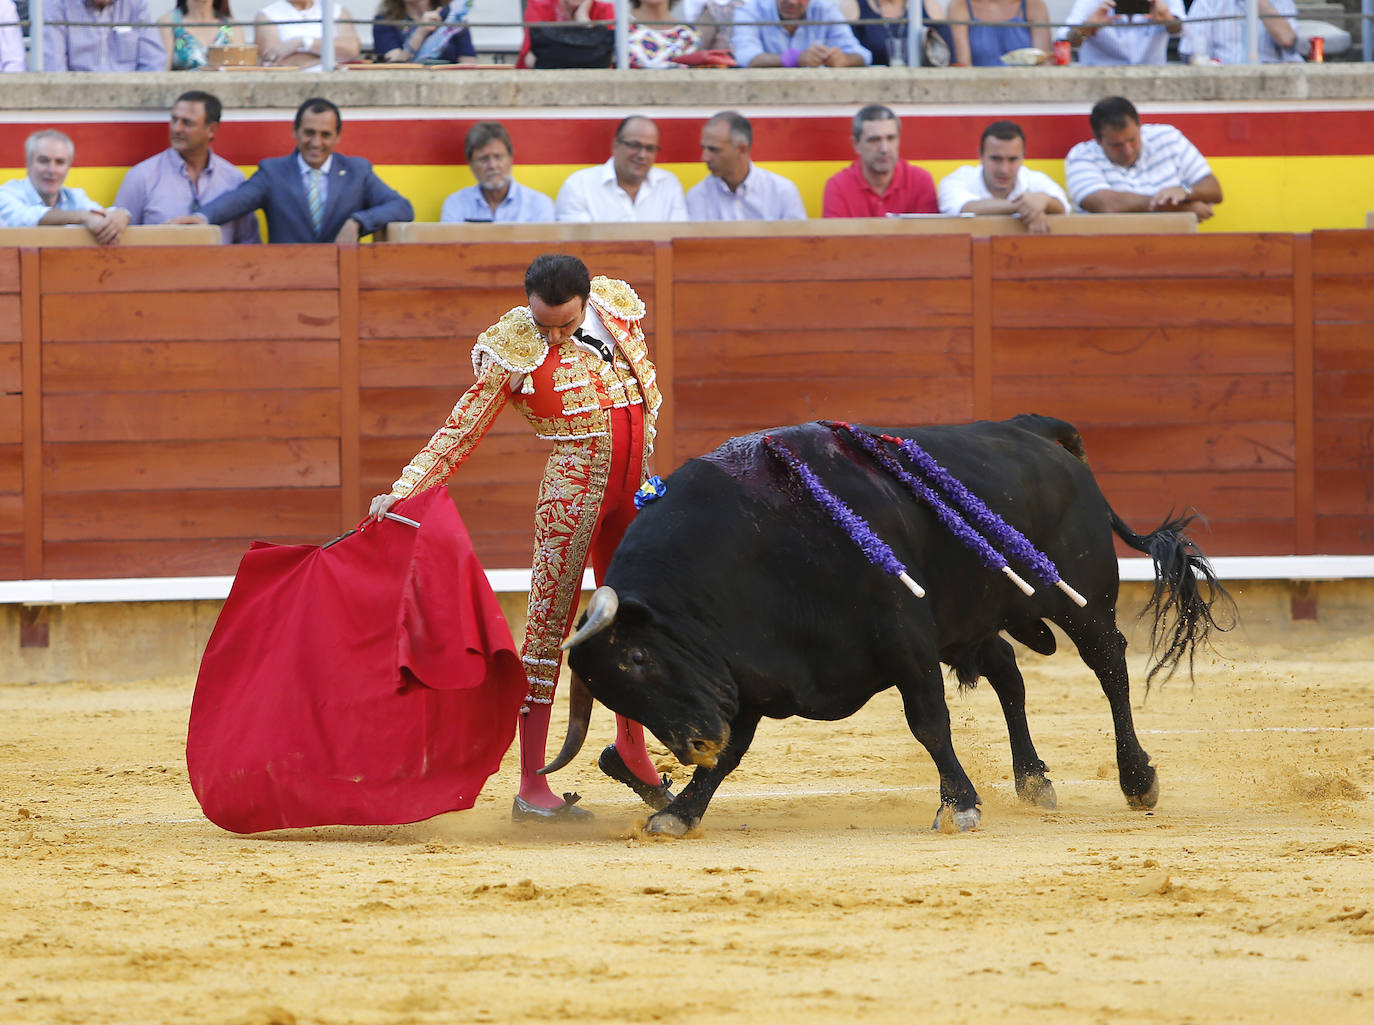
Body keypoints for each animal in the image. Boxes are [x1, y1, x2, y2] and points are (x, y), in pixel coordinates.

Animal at [541, 412, 1231, 835]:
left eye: (637, 658)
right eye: (612, 694)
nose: (692, 746)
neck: (757, 541)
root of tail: (1033, 429)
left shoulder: (905, 638)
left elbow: (928, 722)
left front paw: (960, 806)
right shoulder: (751, 672)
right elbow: (734, 752)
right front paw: (679, 813)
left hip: (1082, 600)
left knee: (1110, 668)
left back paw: (1138, 779)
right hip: (975, 618)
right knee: (1010, 676)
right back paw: (1034, 782)